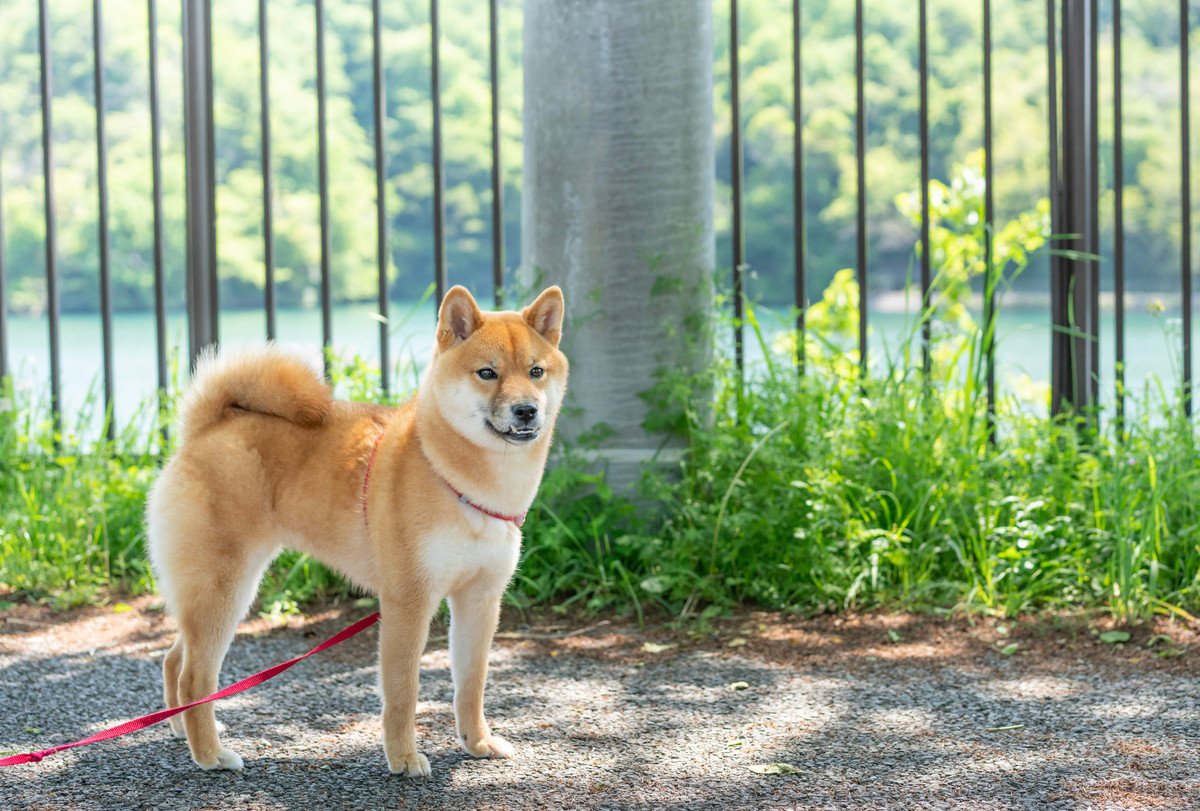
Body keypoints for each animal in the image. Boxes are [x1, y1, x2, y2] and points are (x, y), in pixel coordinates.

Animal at [145, 285, 566, 772]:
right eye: (487, 373)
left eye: (536, 371)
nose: (526, 410)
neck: (458, 478)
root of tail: (206, 428)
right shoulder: (408, 601)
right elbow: (403, 691)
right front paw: (404, 758)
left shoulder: (479, 599)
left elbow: (472, 683)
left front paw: (477, 742)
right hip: (225, 588)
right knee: (195, 674)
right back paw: (211, 754)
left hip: (213, 590)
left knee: (174, 660)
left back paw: (182, 729)